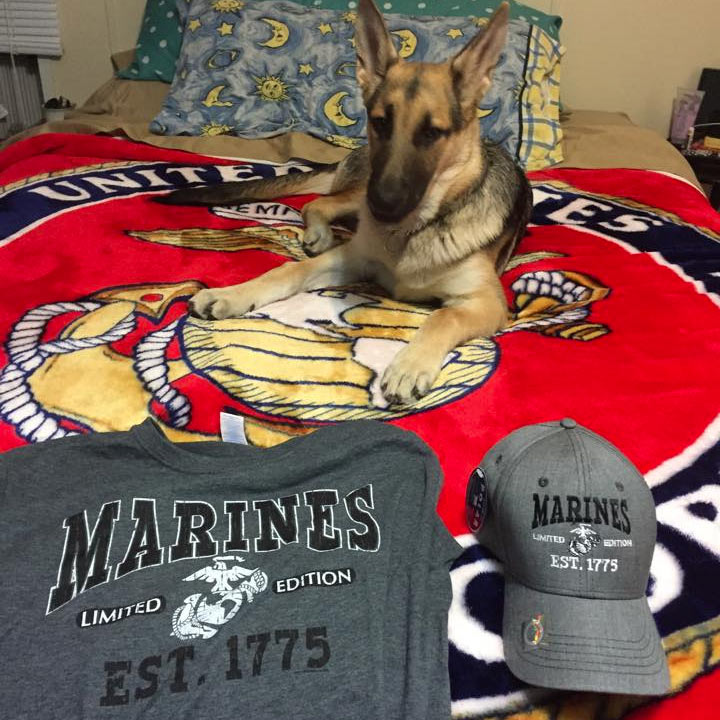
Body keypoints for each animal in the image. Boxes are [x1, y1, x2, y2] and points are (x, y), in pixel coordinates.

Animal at [160, 0, 532, 405]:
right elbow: (287, 271)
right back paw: (319, 234)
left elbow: (443, 316)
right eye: (381, 122)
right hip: (357, 195)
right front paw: (233, 294)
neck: (414, 231)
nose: (382, 207)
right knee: (317, 204)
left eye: (432, 133)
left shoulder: (487, 302)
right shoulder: (353, 258)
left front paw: (410, 365)